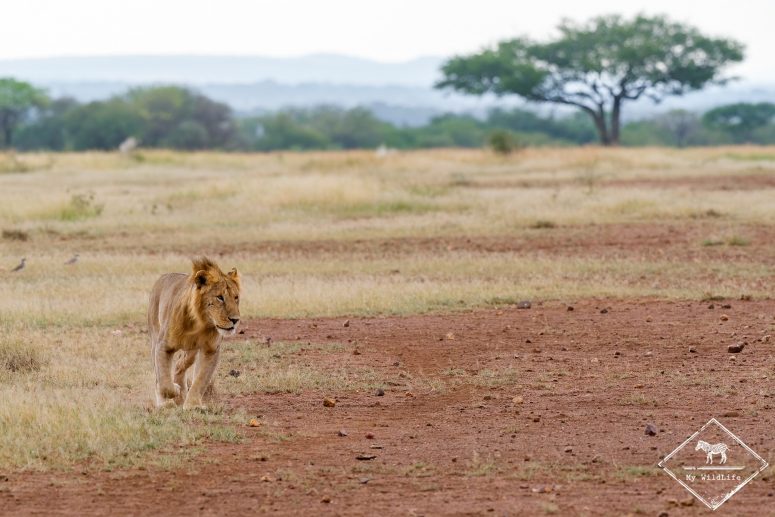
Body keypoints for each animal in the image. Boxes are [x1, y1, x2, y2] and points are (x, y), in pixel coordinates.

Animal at [147, 257, 241, 408]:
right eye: (220, 297)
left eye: (236, 297)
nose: (235, 320)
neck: (200, 323)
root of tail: (163, 277)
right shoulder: (163, 346)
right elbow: (165, 383)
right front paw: (175, 391)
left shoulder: (211, 350)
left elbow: (200, 380)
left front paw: (193, 405)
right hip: (155, 338)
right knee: (159, 378)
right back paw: (165, 403)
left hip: (191, 351)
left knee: (179, 365)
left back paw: (181, 396)